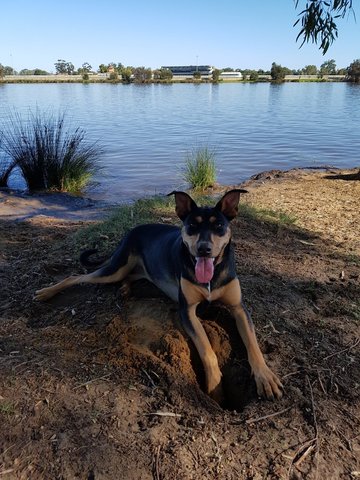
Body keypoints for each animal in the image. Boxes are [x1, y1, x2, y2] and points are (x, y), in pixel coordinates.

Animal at [36, 189, 284, 404]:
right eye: (192, 226)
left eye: (219, 226)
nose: (203, 249)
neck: (211, 276)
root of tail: (132, 230)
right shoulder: (187, 311)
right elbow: (207, 349)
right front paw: (215, 386)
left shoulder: (239, 308)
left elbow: (252, 343)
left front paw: (265, 377)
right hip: (115, 269)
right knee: (76, 276)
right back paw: (46, 292)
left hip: (136, 270)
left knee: (131, 276)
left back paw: (125, 289)